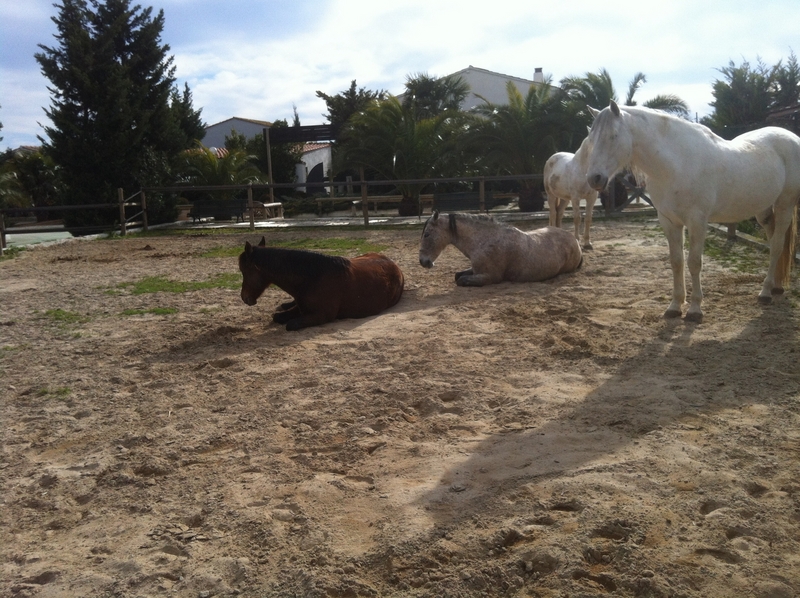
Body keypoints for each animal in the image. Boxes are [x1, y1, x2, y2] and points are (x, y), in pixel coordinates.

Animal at [238, 237, 405, 330]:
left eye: (244, 271)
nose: (244, 298)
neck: (313, 278)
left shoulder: (322, 315)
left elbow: (290, 324)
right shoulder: (301, 307)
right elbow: (278, 317)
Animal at [419, 211, 582, 286]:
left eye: (427, 234)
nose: (423, 262)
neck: (484, 240)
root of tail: (575, 240)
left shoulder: (490, 277)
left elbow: (461, 280)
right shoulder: (476, 270)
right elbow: (457, 275)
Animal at [585, 100, 800, 323]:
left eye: (613, 135)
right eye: (590, 138)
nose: (594, 178)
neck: (677, 165)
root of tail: (792, 137)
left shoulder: (697, 221)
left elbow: (694, 262)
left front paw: (695, 309)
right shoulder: (669, 221)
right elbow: (676, 261)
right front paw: (675, 306)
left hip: (785, 205)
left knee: (777, 245)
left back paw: (765, 292)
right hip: (764, 211)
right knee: (775, 241)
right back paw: (776, 286)